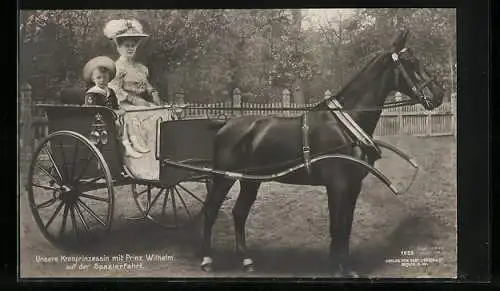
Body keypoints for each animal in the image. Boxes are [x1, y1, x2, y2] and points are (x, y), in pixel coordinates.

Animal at [199, 30, 446, 278]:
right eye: (411, 62)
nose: (439, 94)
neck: (345, 125)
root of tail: (224, 125)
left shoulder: (353, 186)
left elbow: (346, 226)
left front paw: (346, 268)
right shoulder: (336, 185)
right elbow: (336, 226)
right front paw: (336, 268)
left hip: (251, 181)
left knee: (239, 213)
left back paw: (247, 261)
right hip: (223, 178)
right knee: (210, 212)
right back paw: (207, 260)